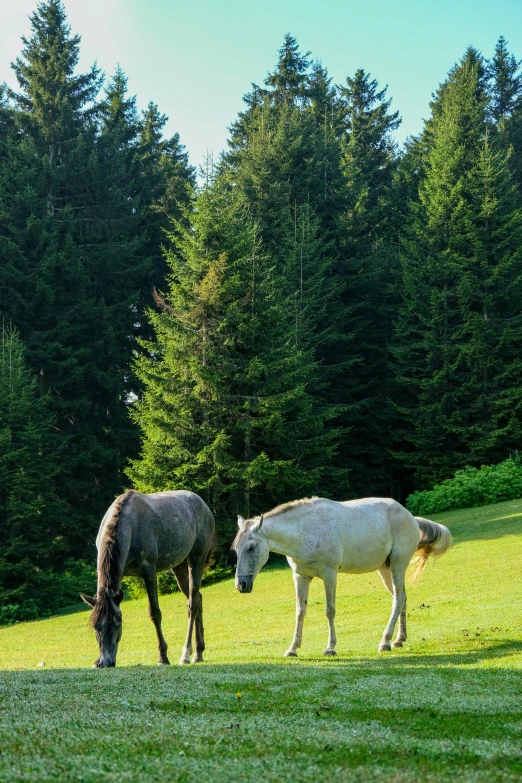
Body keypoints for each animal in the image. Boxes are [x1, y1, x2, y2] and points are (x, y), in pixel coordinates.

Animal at [79, 490, 213, 668]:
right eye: (95, 626)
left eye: (117, 624)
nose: (105, 662)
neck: (130, 525)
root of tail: (204, 506)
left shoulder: (149, 571)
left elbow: (155, 613)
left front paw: (163, 657)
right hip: (179, 565)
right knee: (198, 599)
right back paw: (198, 653)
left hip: (196, 559)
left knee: (192, 605)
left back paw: (186, 654)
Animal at [233, 496, 450, 656]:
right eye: (236, 549)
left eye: (251, 547)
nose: (241, 585)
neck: (306, 531)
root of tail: (410, 516)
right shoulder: (300, 576)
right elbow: (300, 611)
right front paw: (292, 649)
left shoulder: (329, 575)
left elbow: (330, 610)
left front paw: (330, 648)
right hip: (385, 569)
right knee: (402, 598)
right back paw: (398, 640)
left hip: (398, 565)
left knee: (398, 600)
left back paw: (385, 642)